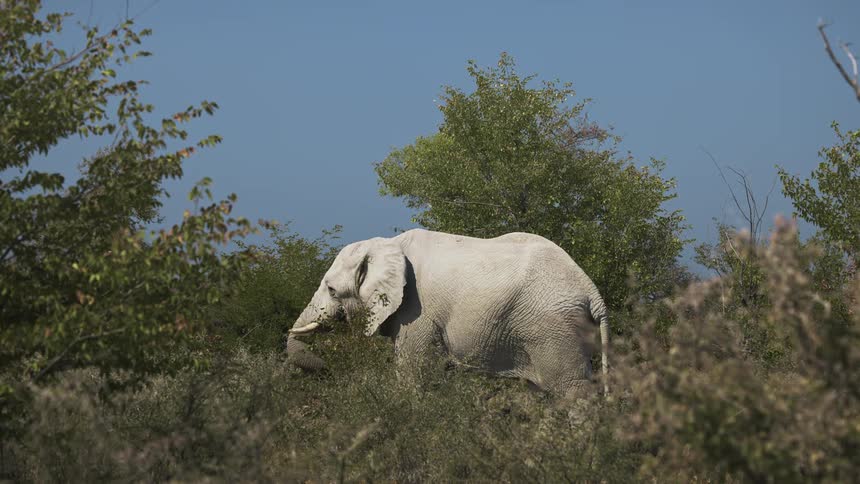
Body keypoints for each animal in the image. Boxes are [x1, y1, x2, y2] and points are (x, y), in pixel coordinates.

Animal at [287, 229, 609, 398]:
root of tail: (593, 293)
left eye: (331, 290)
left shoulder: (417, 311)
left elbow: (412, 372)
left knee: (572, 393)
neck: (388, 245)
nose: (327, 367)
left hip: (554, 329)